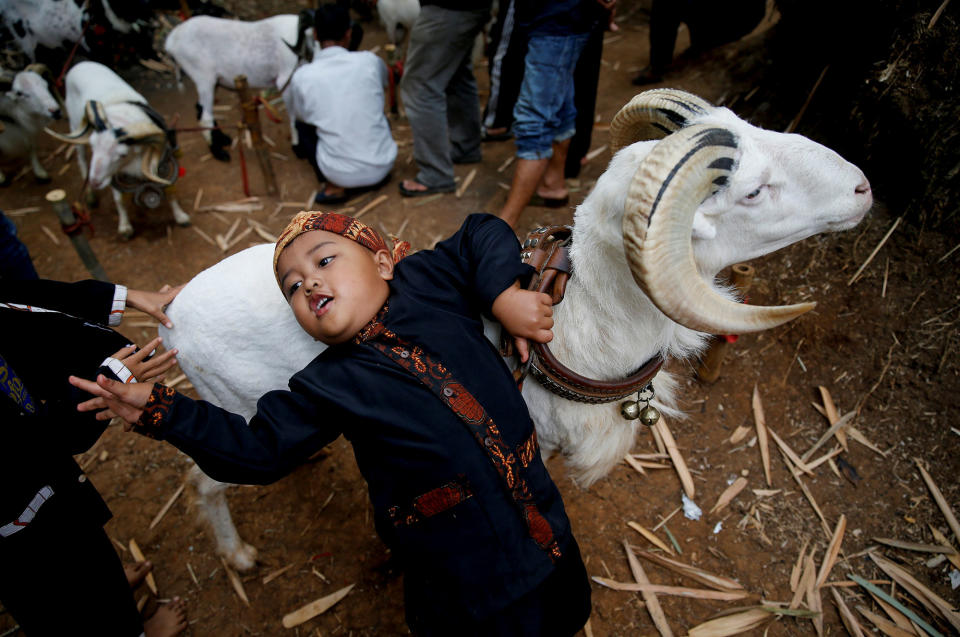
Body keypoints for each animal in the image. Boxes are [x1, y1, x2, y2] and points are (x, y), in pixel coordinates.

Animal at [47, 60, 191, 240]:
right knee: (81, 160)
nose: (95, 181)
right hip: (75, 127)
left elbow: (170, 190)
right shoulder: (114, 174)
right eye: (93, 145)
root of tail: (80, 64)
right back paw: (90, 195)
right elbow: (119, 199)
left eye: (122, 154)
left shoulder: (162, 163)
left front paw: (181, 216)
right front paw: (125, 227)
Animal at [158, 90, 872, 572]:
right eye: (752, 191)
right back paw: (239, 557)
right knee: (202, 483)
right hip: (232, 407)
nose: (864, 187)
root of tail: (173, 317)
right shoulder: (543, 442)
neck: (587, 318)